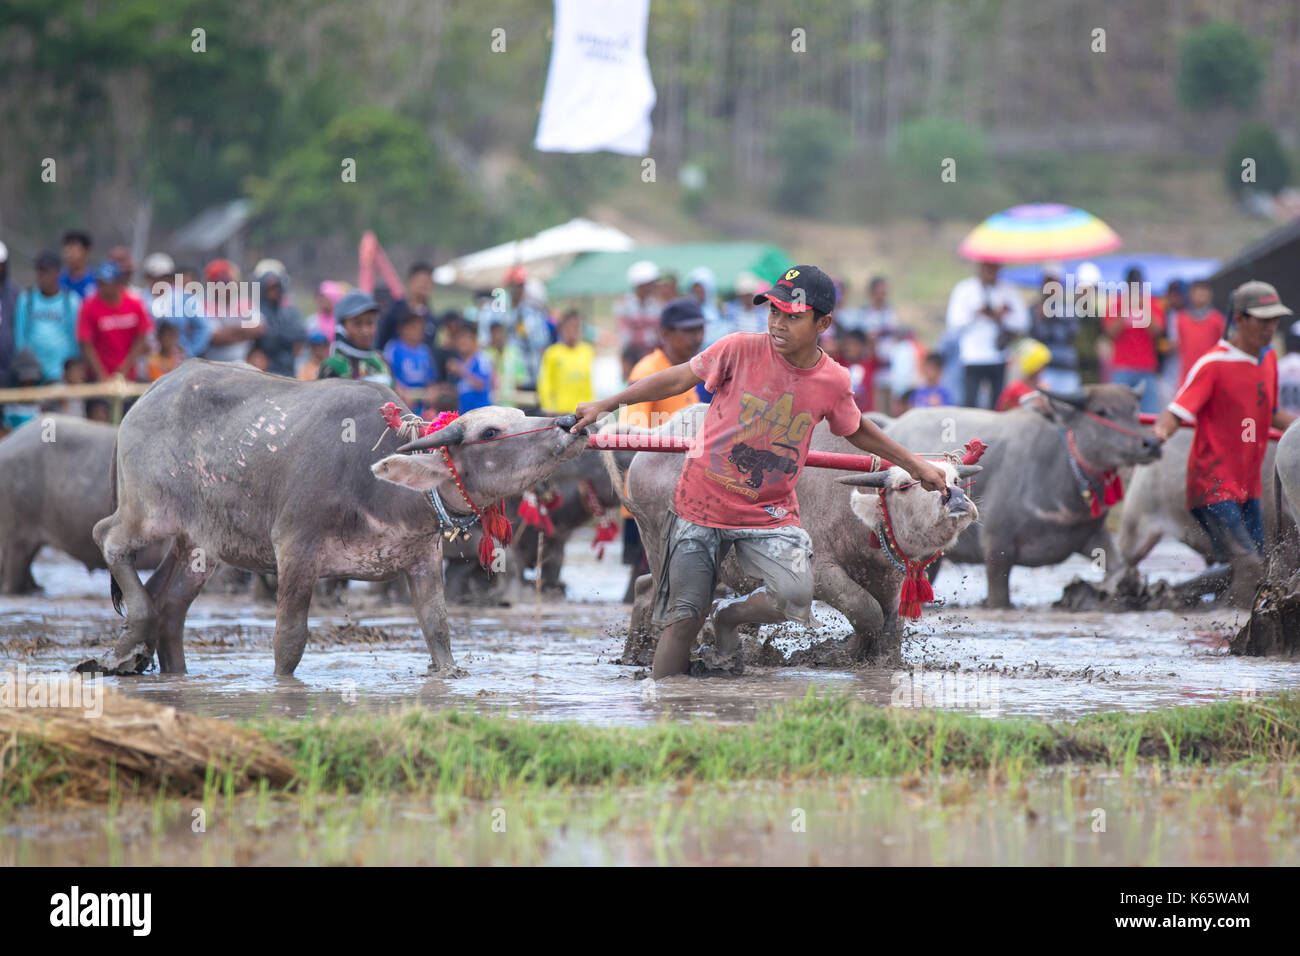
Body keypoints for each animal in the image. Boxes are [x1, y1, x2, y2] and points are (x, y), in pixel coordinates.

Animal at [94, 356, 592, 671]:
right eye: (489, 431)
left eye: (520, 415)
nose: (569, 423)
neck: (375, 484)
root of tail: (152, 393)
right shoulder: (295, 551)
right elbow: (289, 641)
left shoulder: (423, 559)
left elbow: (438, 632)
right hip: (148, 512)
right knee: (109, 539)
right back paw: (127, 642)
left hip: (200, 545)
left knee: (170, 605)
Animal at [883, 387, 1159, 606]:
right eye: (1102, 412)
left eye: (1135, 410)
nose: (1152, 443)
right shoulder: (997, 551)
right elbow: (999, 598)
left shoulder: (1093, 534)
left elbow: (1118, 565)